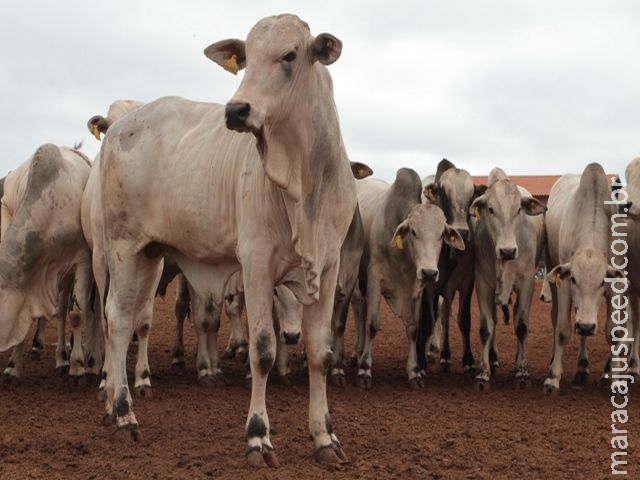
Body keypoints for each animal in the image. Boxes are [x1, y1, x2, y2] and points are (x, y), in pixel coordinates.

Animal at [0, 142, 94, 382]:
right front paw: (13, 366)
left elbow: (76, 314)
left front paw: (77, 365)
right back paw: (60, 357)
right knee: (59, 313)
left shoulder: (82, 262)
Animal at [102, 15, 358, 464]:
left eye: (290, 55)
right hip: (122, 247)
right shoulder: (256, 263)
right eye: (246, 59)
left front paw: (325, 436)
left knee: (128, 317)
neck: (306, 183)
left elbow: (319, 353)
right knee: (117, 321)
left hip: (149, 255)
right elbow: (263, 351)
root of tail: (120, 125)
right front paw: (258, 436)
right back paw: (122, 413)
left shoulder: (327, 267)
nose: (237, 109)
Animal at [352, 169, 462, 390]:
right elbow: (372, 325)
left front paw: (414, 372)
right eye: (413, 231)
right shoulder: (374, 279)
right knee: (361, 314)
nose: (429, 272)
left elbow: (414, 328)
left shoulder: (416, 287)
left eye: (441, 235)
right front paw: (365, 370)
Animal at [470, 168, 544, 390]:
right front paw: (483, 372)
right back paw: (493, 359)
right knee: (494, 321)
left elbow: (521, 327)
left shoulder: (527, 283)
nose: (508, 251)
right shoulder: (483, 284)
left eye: (519, 209)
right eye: (490, 209)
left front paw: (521, 371)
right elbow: (486, 327)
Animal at [544, 162, 624, 394]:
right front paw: (553, 377)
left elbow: (613, 333)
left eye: (602, 282)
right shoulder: (563, 282)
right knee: (556, 318)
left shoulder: (615, 287)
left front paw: (615, 378)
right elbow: (563, 329)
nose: (587, 326)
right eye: (573, 280)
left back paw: (582, 366)